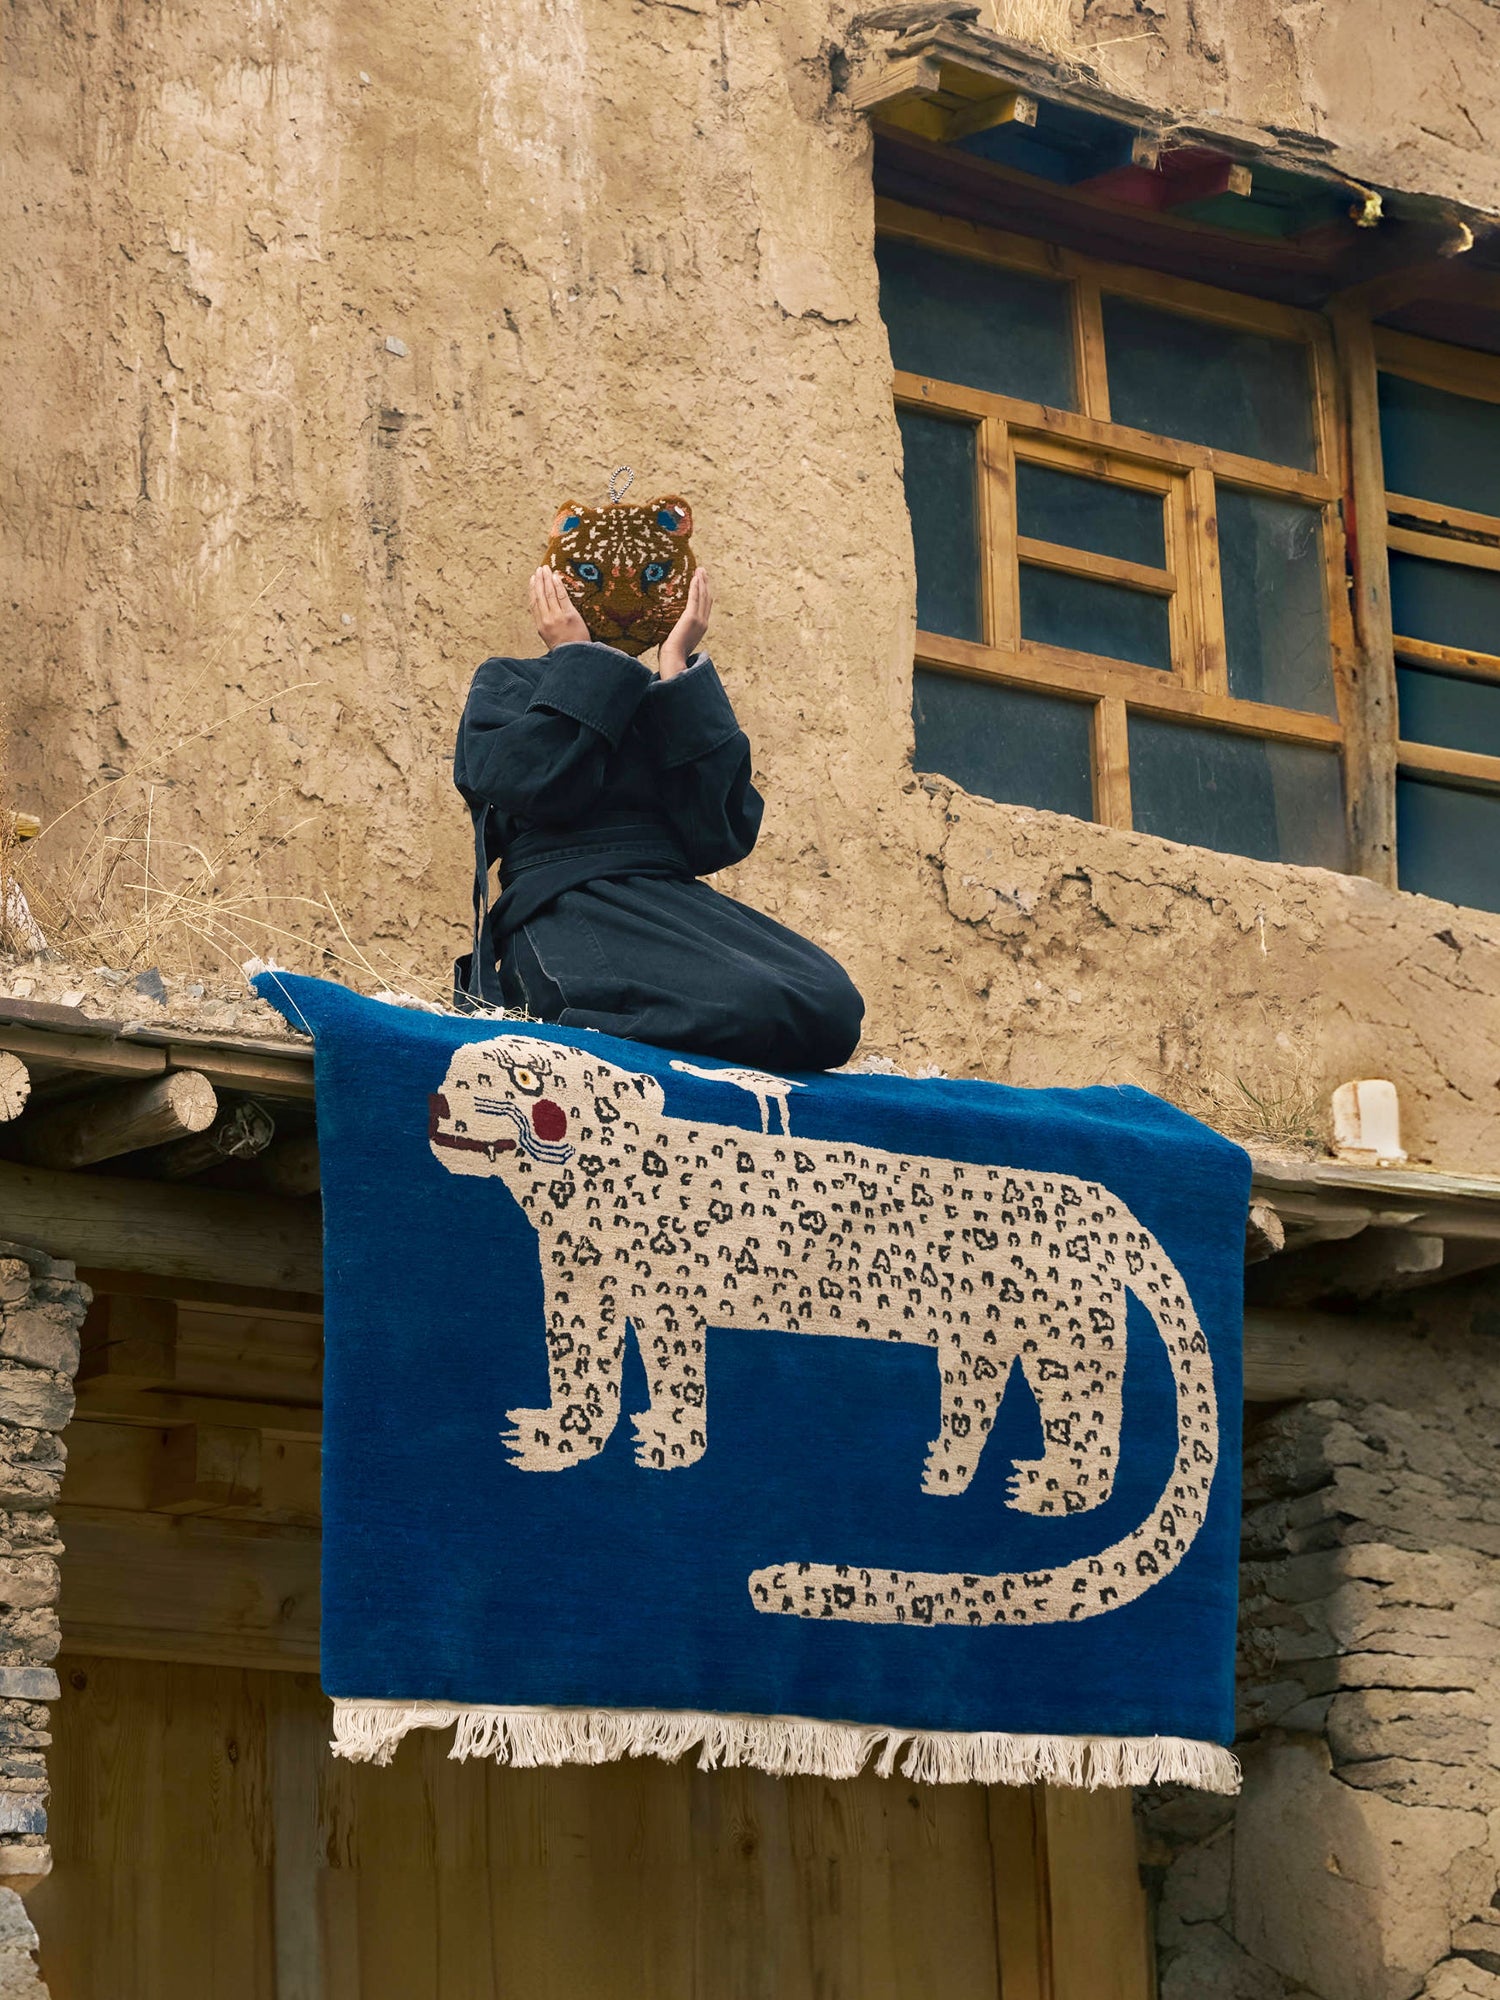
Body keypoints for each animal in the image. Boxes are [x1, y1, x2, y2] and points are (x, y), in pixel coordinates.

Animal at [428, 1034, 1220, 1629]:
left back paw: (1051, 1484)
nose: (437, 1099)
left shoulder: (668, 1299)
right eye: (454, 1069)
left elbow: (676, 1377)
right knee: (979, 1402)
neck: (573, 1203)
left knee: (1091, 1430)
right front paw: (554, 1436)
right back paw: (944, 1469)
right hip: (978, 1338)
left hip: (1068, 1341)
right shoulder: (579, 1291)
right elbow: (582, 1374)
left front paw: (668, 1442)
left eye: (524, 1075)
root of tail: (1100, 1195)